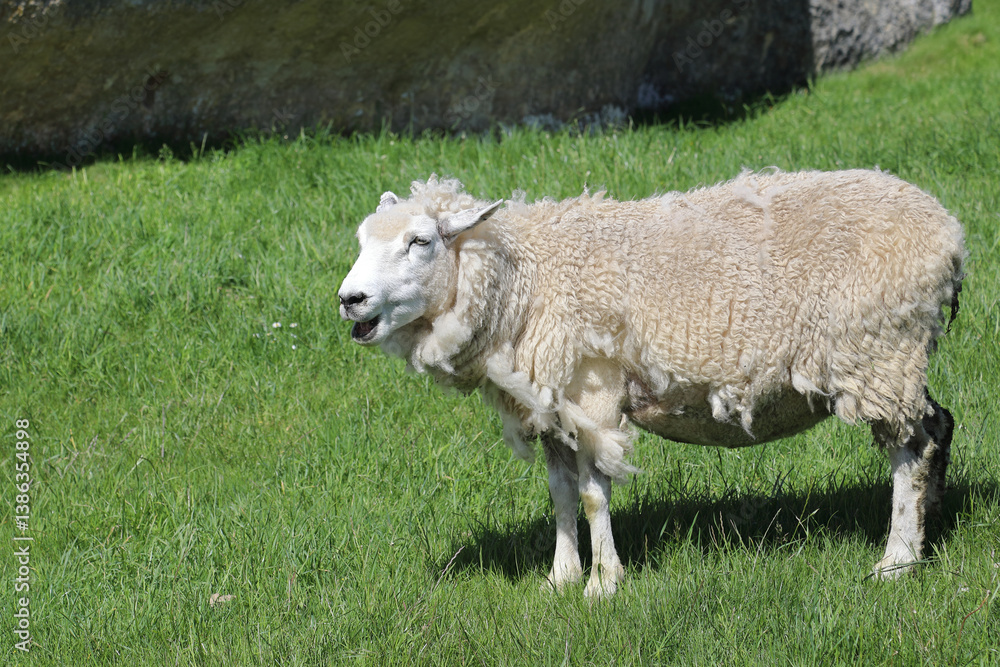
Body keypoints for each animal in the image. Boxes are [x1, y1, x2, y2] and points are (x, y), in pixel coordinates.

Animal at [338, 170, 965, 597]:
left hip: (881, 350)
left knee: (910, 449)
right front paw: (560, 578)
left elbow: (594, 494)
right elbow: (560, 493)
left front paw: (603, 584)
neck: (526, 278)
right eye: (363, 240)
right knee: (939, 423)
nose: (350, 299)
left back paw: (898, 558)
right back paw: (931, 521)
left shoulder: (591, 393)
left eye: (420, 242)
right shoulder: (550, 401)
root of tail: (949, 232)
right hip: (896, 360)